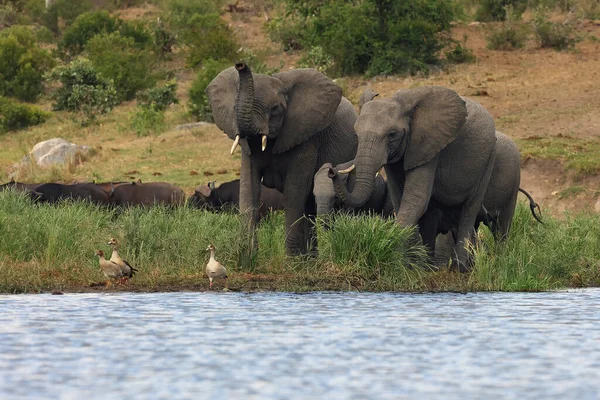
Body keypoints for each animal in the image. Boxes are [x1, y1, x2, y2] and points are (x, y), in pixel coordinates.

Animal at [207, 63, 356, 255]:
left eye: (276, 108)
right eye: (233, 108)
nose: (240, 65)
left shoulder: (306, 134)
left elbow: (294, 192)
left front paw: (291, 260)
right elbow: (249, 188)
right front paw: (247, 257)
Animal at [328, 86, 496, 270]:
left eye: (392, 134)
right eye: (356, 135)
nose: (332, 171)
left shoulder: (429, 145)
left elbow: (415, 201)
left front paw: (395, 261)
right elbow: (400, 199)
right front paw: (410, 265)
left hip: (489, 158)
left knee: (469, 209)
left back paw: (460, 269)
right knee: (433, 213)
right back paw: (429, 267)